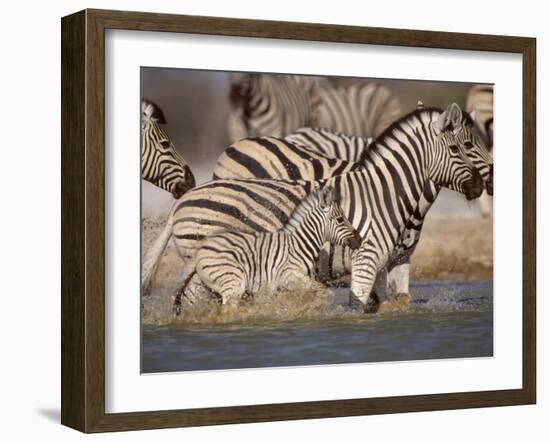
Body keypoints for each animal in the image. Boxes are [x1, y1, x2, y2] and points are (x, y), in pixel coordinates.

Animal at [177, 186, 364, 310]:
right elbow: (324, 293)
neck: (300, 245)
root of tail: (200, 248)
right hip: (232, 282)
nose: (359, 240)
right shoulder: (289, 275)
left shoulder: (277, 286)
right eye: (340, 219)